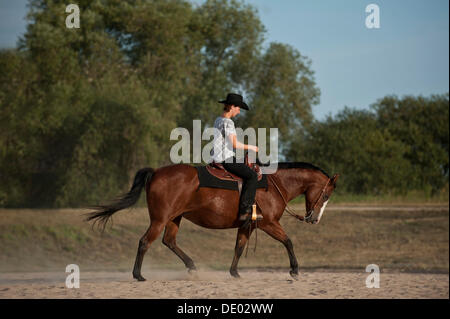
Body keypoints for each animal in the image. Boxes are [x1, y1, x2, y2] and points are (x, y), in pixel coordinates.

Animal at [85, 164, 338, 282]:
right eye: (326, 195)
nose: (314, 219)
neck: (273, 185)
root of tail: (156, 172)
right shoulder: (268, 224)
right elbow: (288, 241)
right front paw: (294, 270)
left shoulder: (247, 226)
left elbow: (239, 247)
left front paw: (234, 273)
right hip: (159, 219)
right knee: (145, 241)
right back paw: (138, 275)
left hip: (174, 218)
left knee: (169, 241)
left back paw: (192, 267)